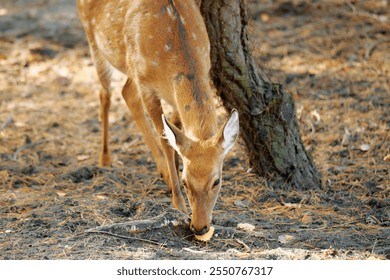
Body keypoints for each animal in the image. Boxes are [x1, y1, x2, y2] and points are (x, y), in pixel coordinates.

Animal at [77, 0, 238, 236]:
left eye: (217, 181)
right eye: (185, 182)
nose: (199, 227)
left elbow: (175, 130)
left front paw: (173, 171)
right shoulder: (146, 87)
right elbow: (166, 142)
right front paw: (178, 204)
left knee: (126, 92)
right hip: (95, 42)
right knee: (105, 94)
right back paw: (105, 159)